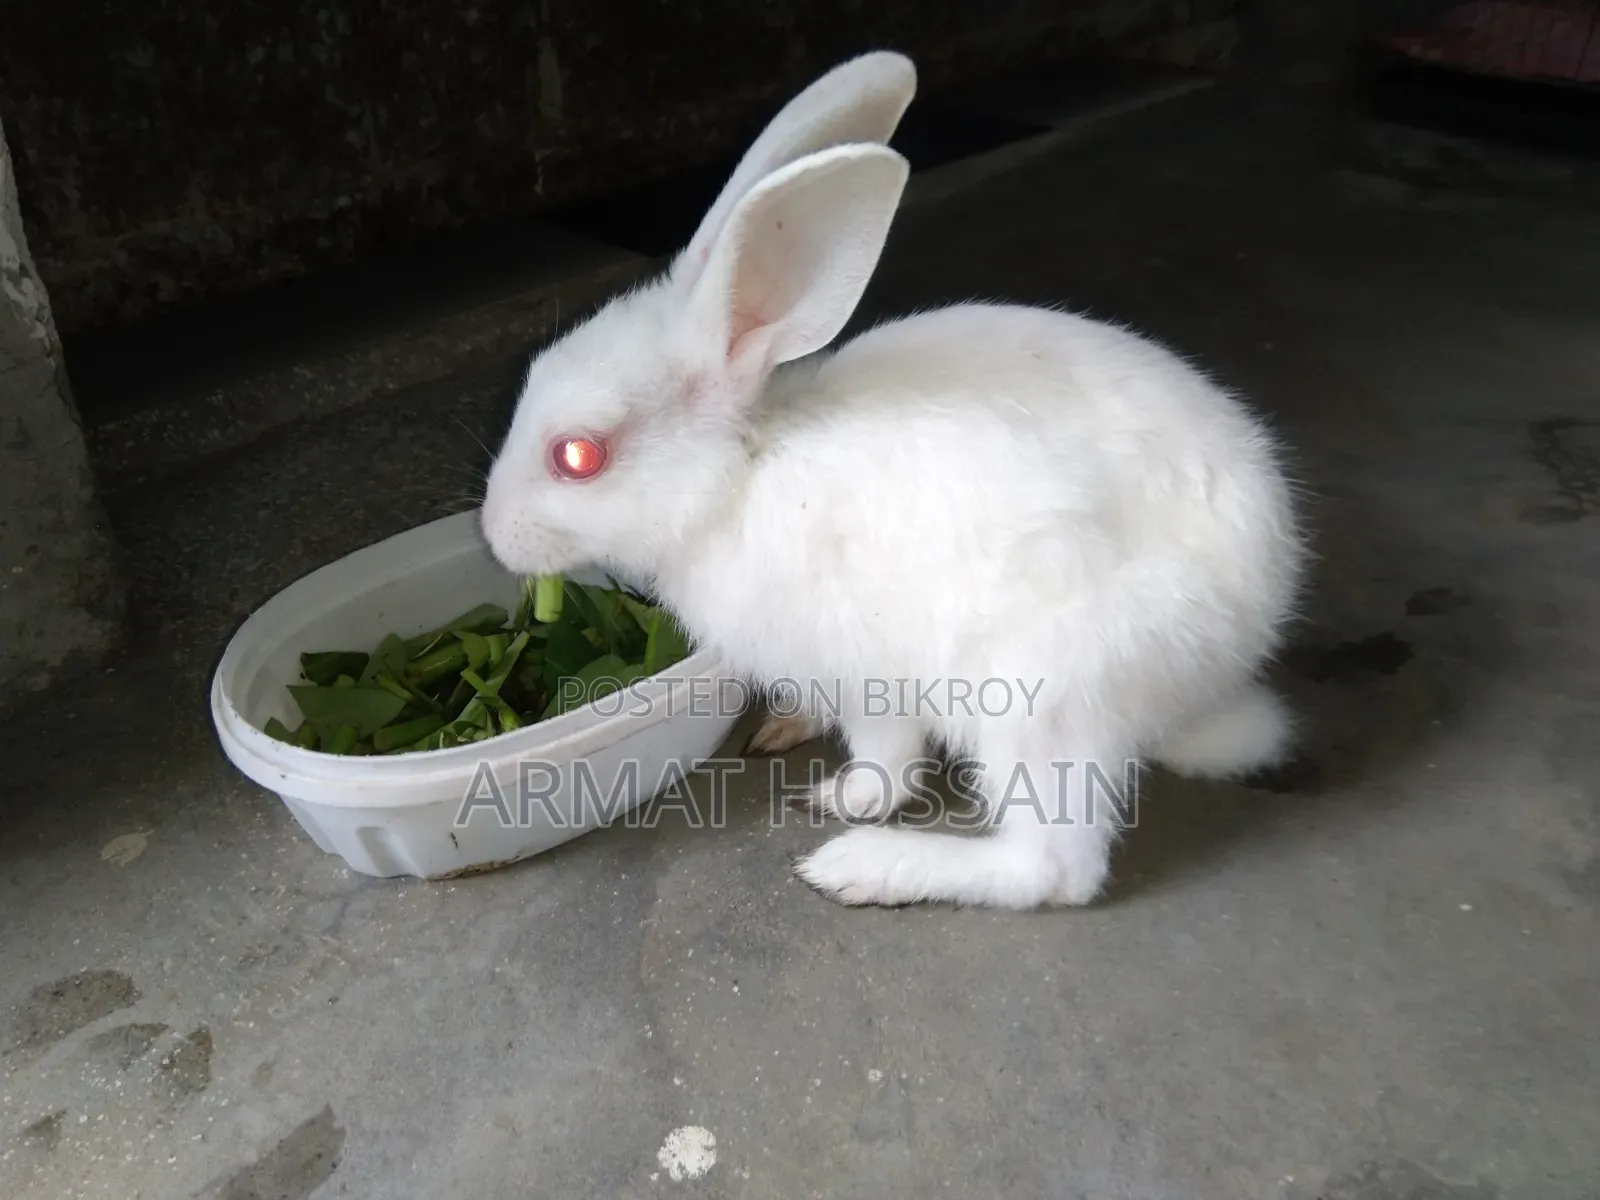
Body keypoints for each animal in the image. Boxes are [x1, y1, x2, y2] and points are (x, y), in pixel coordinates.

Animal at [479, 50, 1308, 909]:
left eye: (578, 456)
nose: (493, 533)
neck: (740, 474)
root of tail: (1241, 642)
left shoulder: (869, 675)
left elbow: (888, 760)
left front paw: (843, 799)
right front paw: (789, 726)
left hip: (1039, 697)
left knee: (1057, 868)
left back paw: (863, 866)